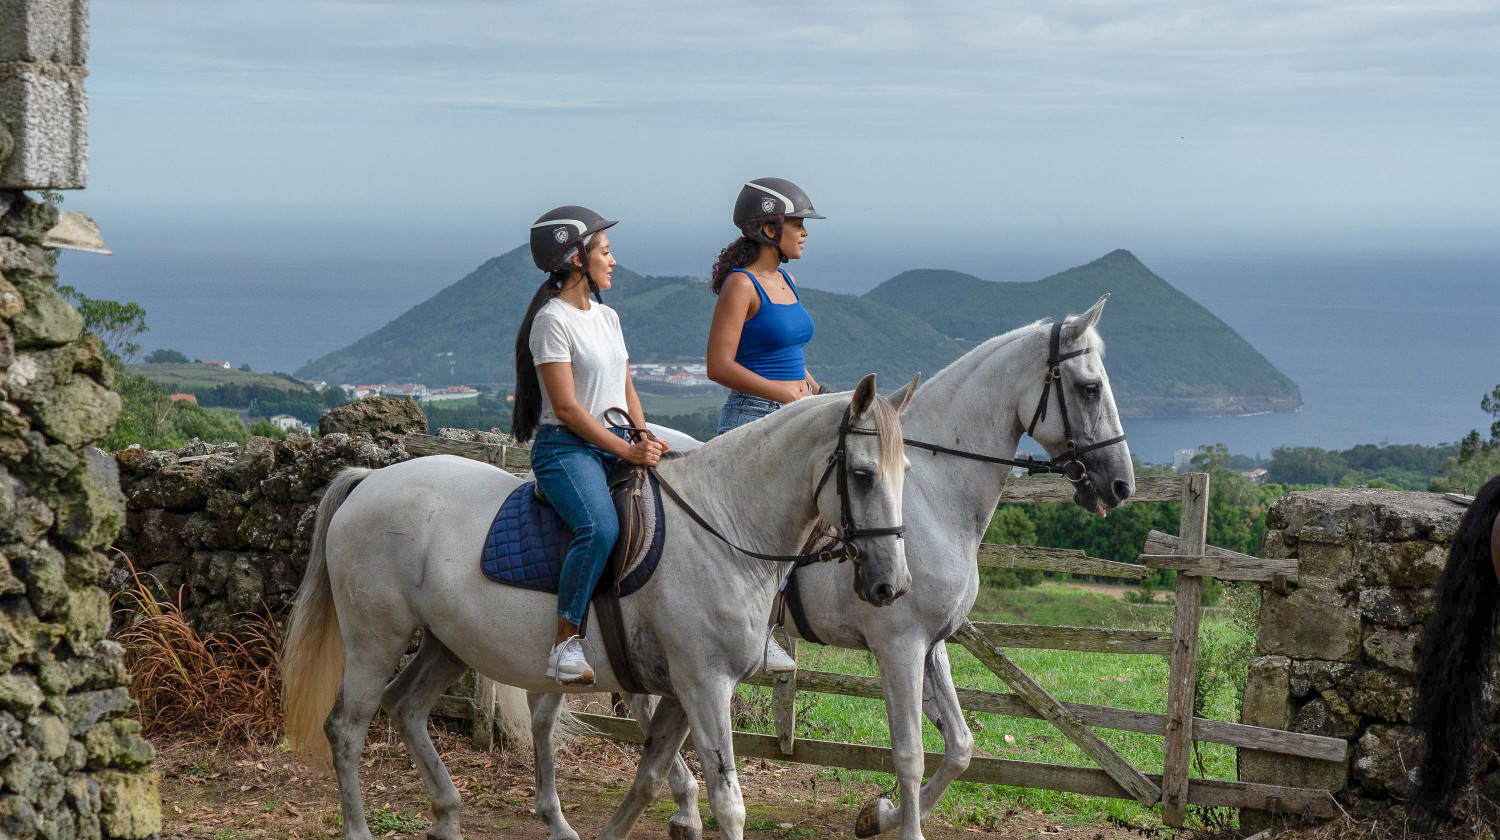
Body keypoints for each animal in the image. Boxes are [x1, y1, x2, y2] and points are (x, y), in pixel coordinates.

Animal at [280, 373, 912, 840]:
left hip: (447, 643)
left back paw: (449, 815)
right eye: (861, 474)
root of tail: (369, 480)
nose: (891, 585)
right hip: (375, 638)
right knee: (347, 727)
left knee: (406, 707)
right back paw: (363, 826)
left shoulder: (679, 692)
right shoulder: (705, 685)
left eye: (904, 471)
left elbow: (650, 777)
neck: (722, 526)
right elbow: (727, 801)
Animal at [522, 295, 1128, 840]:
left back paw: (667, 808)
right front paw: (897, 821)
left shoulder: (931, 642)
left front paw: (876, 816)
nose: (1121, 484)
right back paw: (665, 806)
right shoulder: (899, 644)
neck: (933, 495)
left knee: (603, 703)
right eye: (1089, 388)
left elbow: (960, 748)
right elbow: (909, 754)